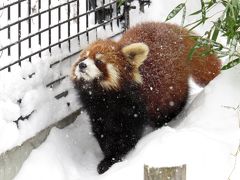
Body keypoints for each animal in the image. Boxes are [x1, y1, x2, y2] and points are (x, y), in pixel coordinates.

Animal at [71, 21, 221, 174]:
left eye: (99, 61)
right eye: (84, 57)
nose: (82, 65)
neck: (104, 96)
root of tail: (175, 31)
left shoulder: (134, 107)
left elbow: (128, 134)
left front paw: (112, 159)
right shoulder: (97, 110)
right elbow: (102, 131)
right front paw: (107, 153)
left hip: (171, 88)